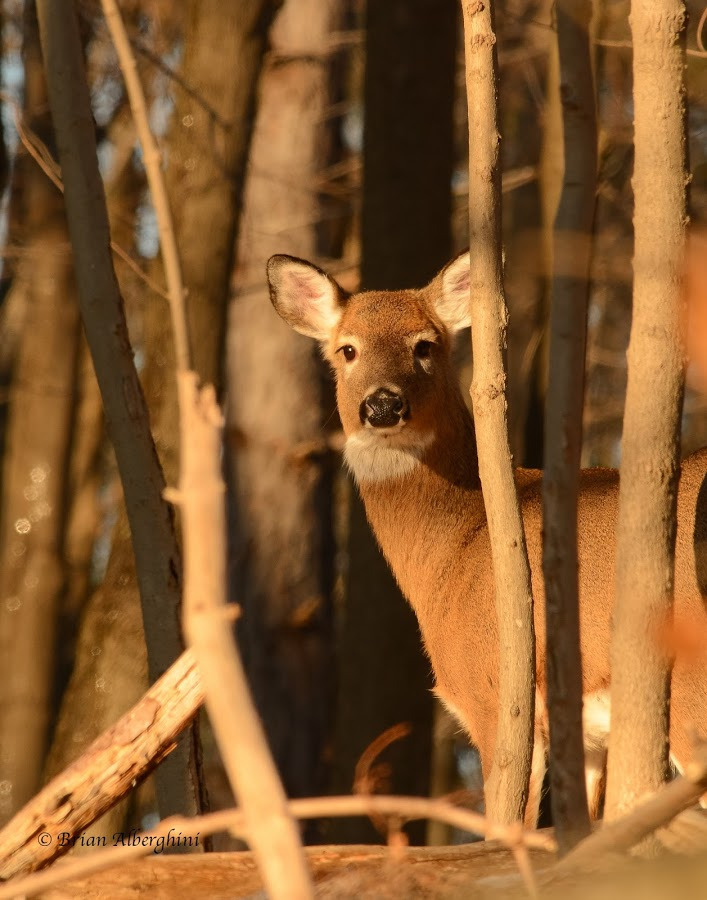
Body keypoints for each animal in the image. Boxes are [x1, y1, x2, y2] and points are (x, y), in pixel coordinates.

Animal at [264, 250, 707, 828]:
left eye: (425, 345)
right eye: (348, 349)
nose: (382, 406)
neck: (456, 546)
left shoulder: (495, 698)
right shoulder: (589, 740)